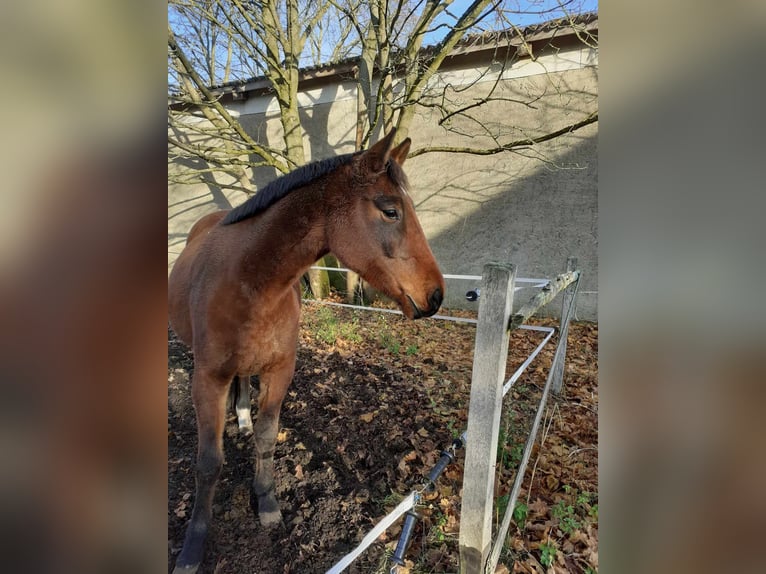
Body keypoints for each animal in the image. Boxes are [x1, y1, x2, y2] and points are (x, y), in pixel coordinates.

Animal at [168, 132, 444, 574]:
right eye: (390, 211)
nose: (436, 295)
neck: (249, 281)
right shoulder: (206, 380)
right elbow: (209, 462)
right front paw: (192, 548)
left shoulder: (280, 370)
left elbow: (266, 437)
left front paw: (266, 502)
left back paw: (241, 417)